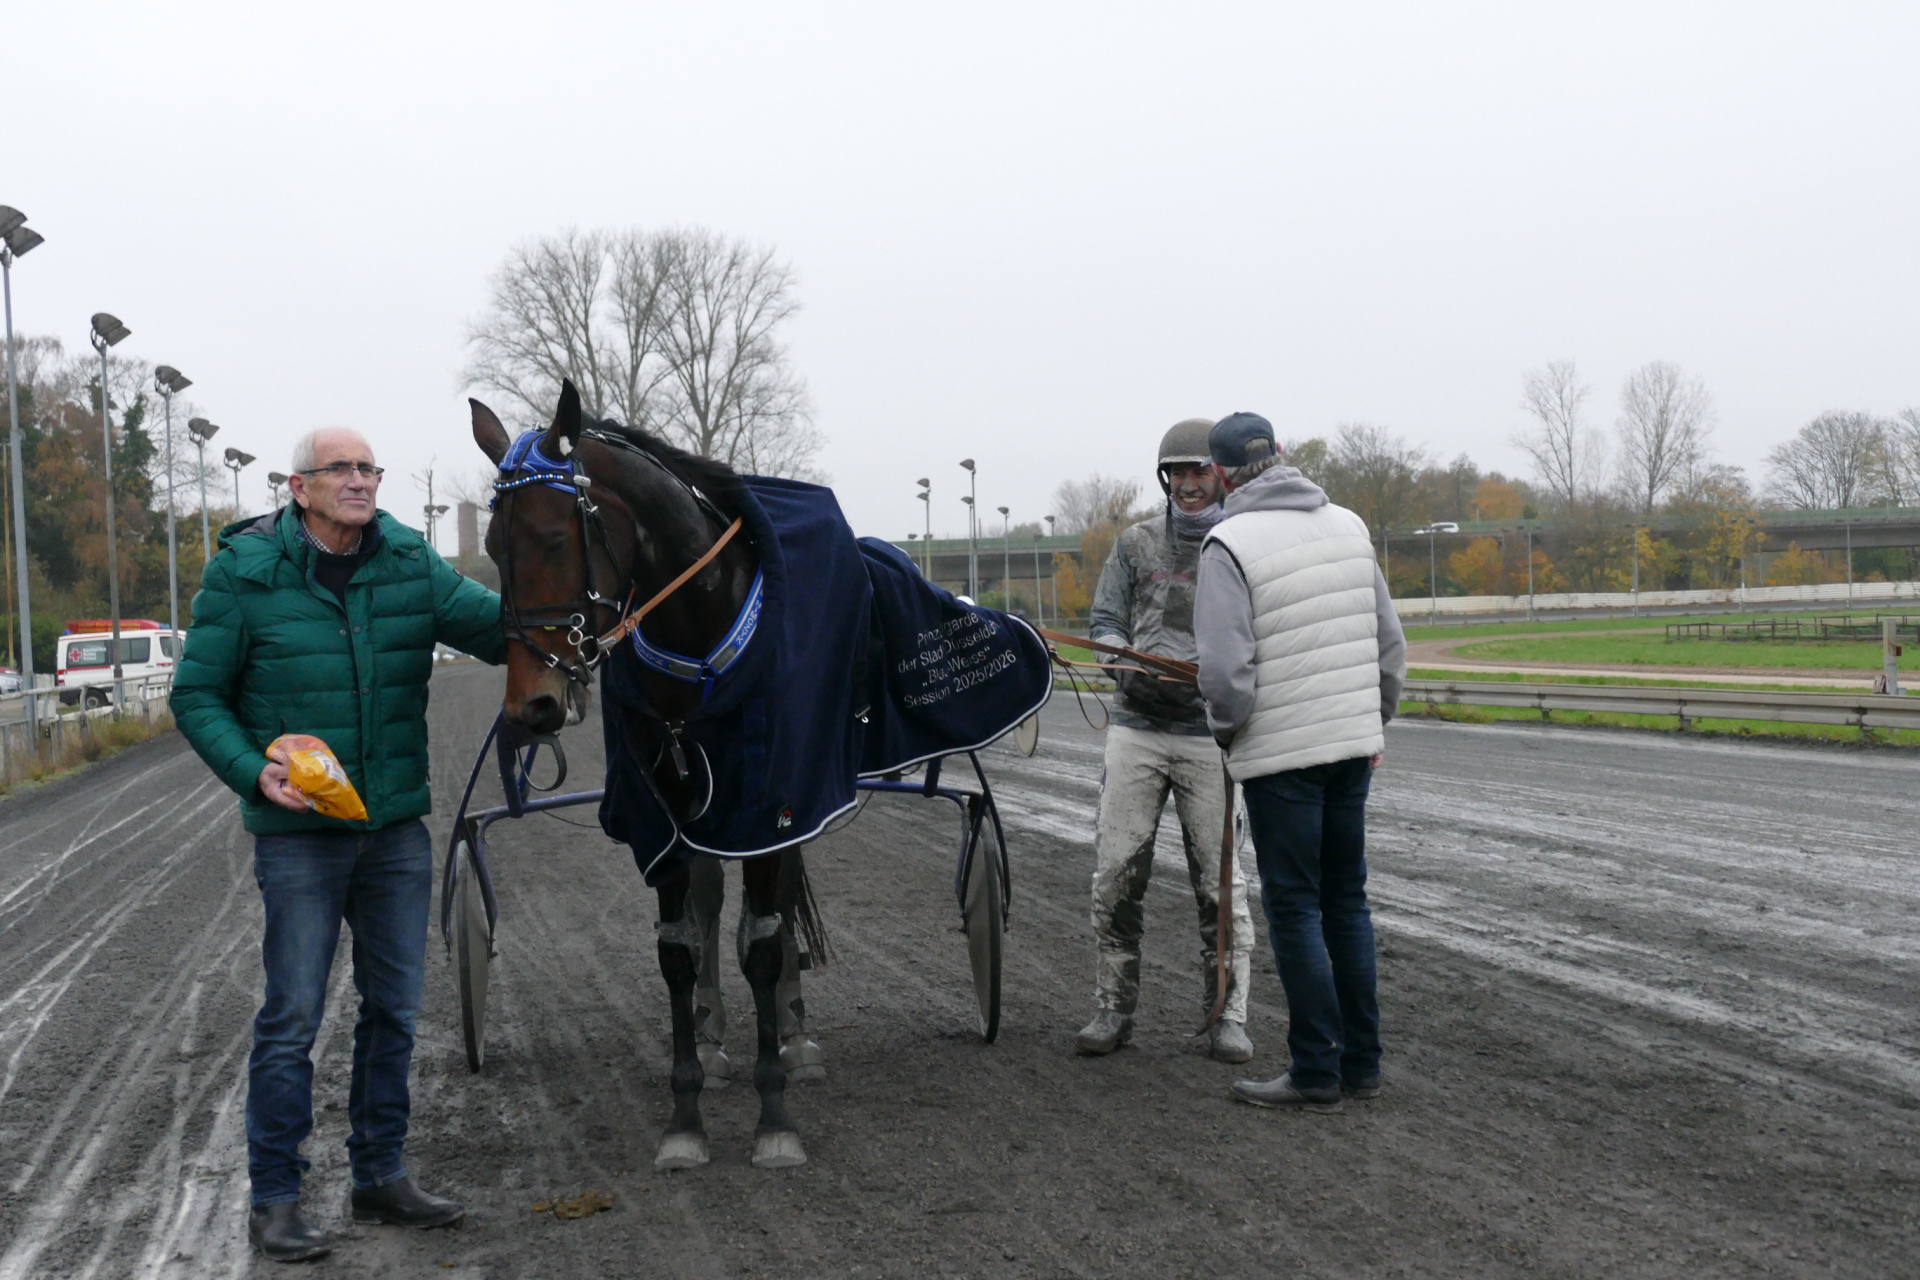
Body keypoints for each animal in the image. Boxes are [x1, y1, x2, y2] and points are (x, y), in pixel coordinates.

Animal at [472, 379, 825, 1171]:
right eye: (490, 546)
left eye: (553, 538)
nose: (532, 706)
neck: (699, 642)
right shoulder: (664, 807)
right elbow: (677, 948)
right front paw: (685, 1115)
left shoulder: (770, 801)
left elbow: (764, 942)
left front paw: (775, 1115)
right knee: (713, 894)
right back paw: (720, 1035)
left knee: (779, 897)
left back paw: (791, 1034)